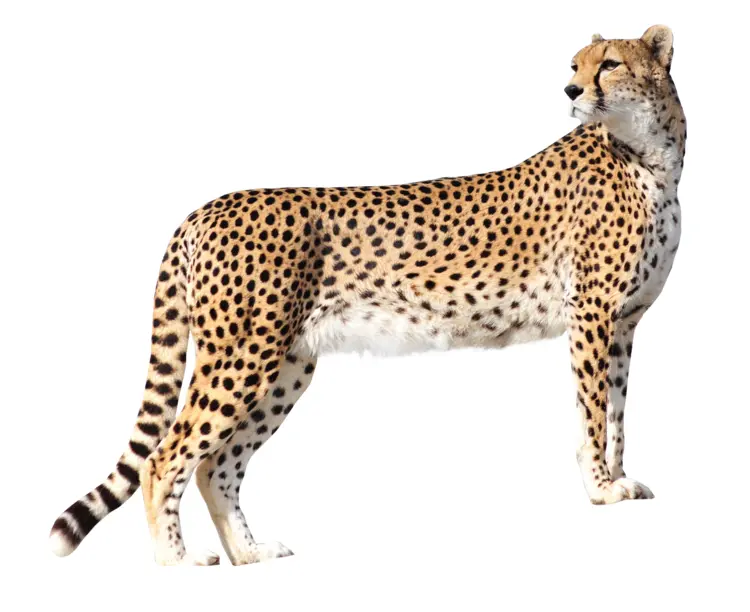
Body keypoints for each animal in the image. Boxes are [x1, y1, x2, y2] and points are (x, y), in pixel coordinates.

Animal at [50, 25, 686, 566]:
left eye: (609, 63)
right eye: (574, 65)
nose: (571, 90)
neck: (652, 155)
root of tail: (206, 207)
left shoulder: (624, 323)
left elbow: (617, 412)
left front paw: (620, 480)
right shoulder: (593, 315)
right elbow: (593, 411)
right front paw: (601, 490)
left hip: (286, 365)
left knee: (217, 466)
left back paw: (250, 553)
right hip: (242, 355)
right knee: (165, 457)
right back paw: (177, 561)